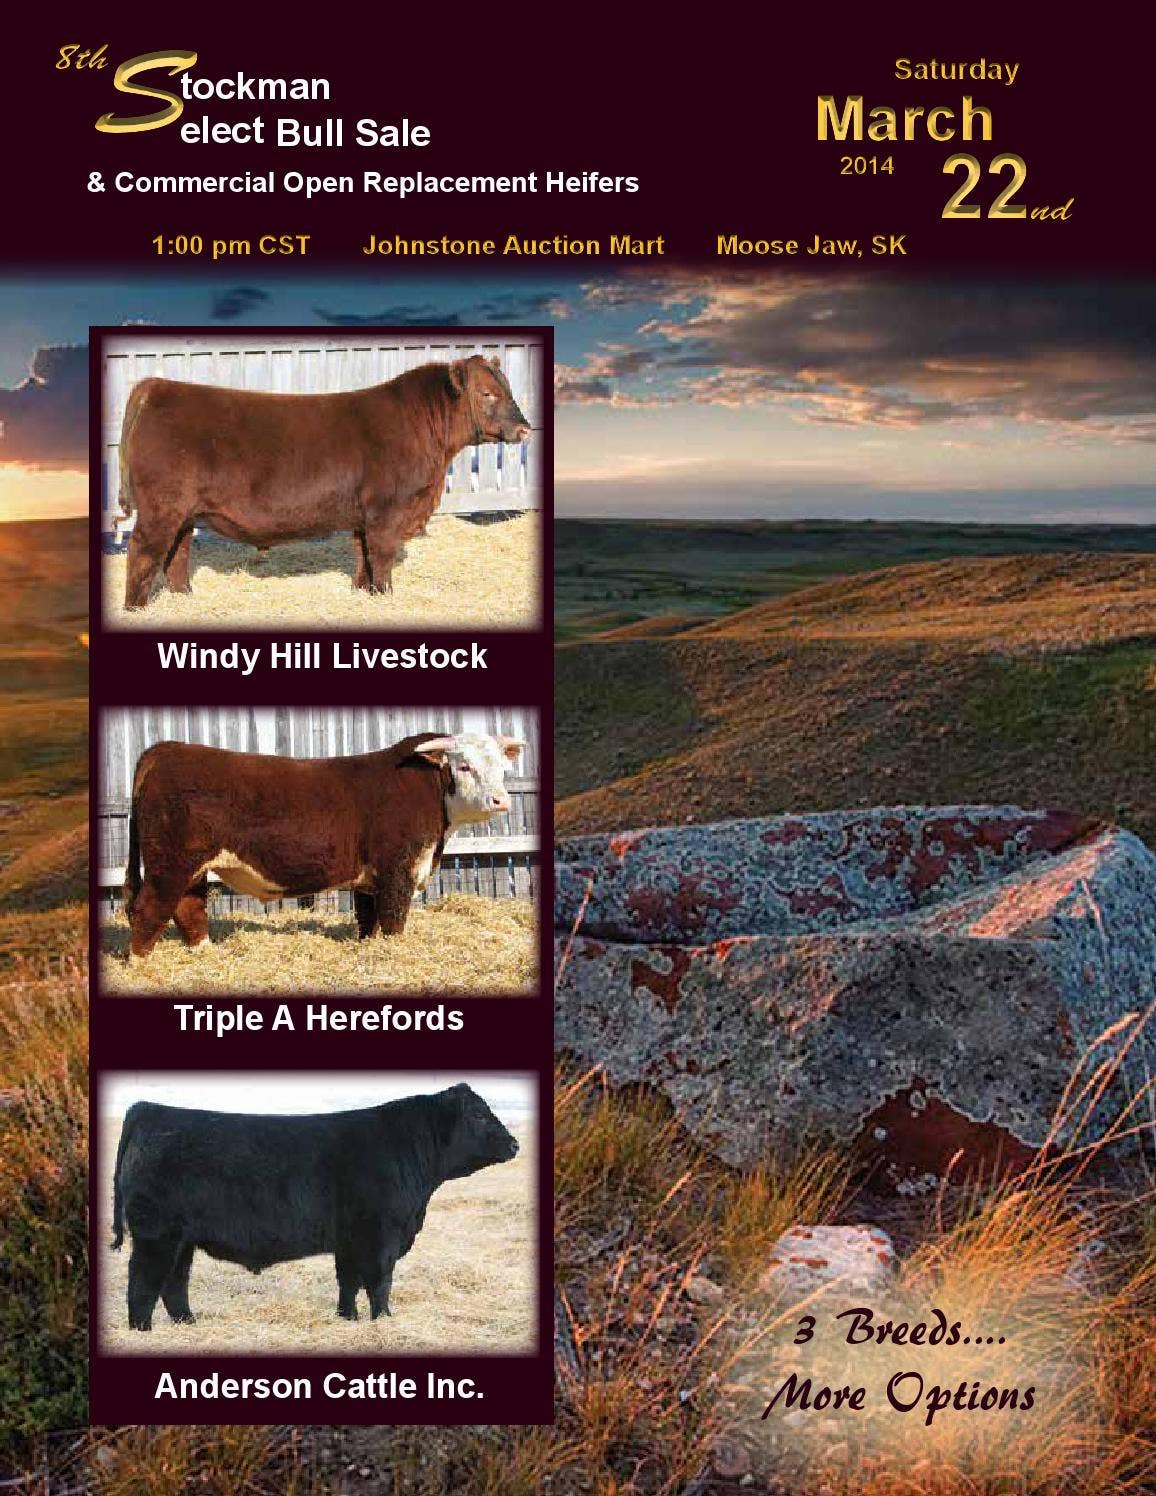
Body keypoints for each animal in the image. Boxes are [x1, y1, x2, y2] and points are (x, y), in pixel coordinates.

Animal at [110, 1085, 520, 1330]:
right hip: (157, 1234)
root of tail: (149, 1109)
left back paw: (188, 1323)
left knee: (174, 1282)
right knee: (143, 1280)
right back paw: (142, 1330)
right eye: (479, 1114)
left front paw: (348, 1319)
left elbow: (348, 1281)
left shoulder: (350, 1240)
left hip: (183, 1239)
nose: (515, 1144)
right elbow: (380, 1282)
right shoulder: (380, 1235)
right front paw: (383, 1321)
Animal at [117, 355, 532, 609]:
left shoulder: (365, 514)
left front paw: (365, 593)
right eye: (487, 393)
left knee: (177, 554)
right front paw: (386, 594)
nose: (525, 428)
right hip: (160, 508)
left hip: (183, 511)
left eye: (508, 390)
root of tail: (156, 386)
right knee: (144, 552)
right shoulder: (386, 511)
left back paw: (185, 597)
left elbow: (363, 554)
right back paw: (136, 608)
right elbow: (382, 554)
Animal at [123, 730, 523, 957]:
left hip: (191, 868)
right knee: (147, 909)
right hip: (169, 863)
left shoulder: (371, 878)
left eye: (502, 768)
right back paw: (141, 964)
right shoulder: (397, 869)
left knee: (187, 907)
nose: (501, 801)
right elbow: (393, 919)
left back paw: (205, 955)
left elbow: (368, 919)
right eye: (464, 766)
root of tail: (167, 750)